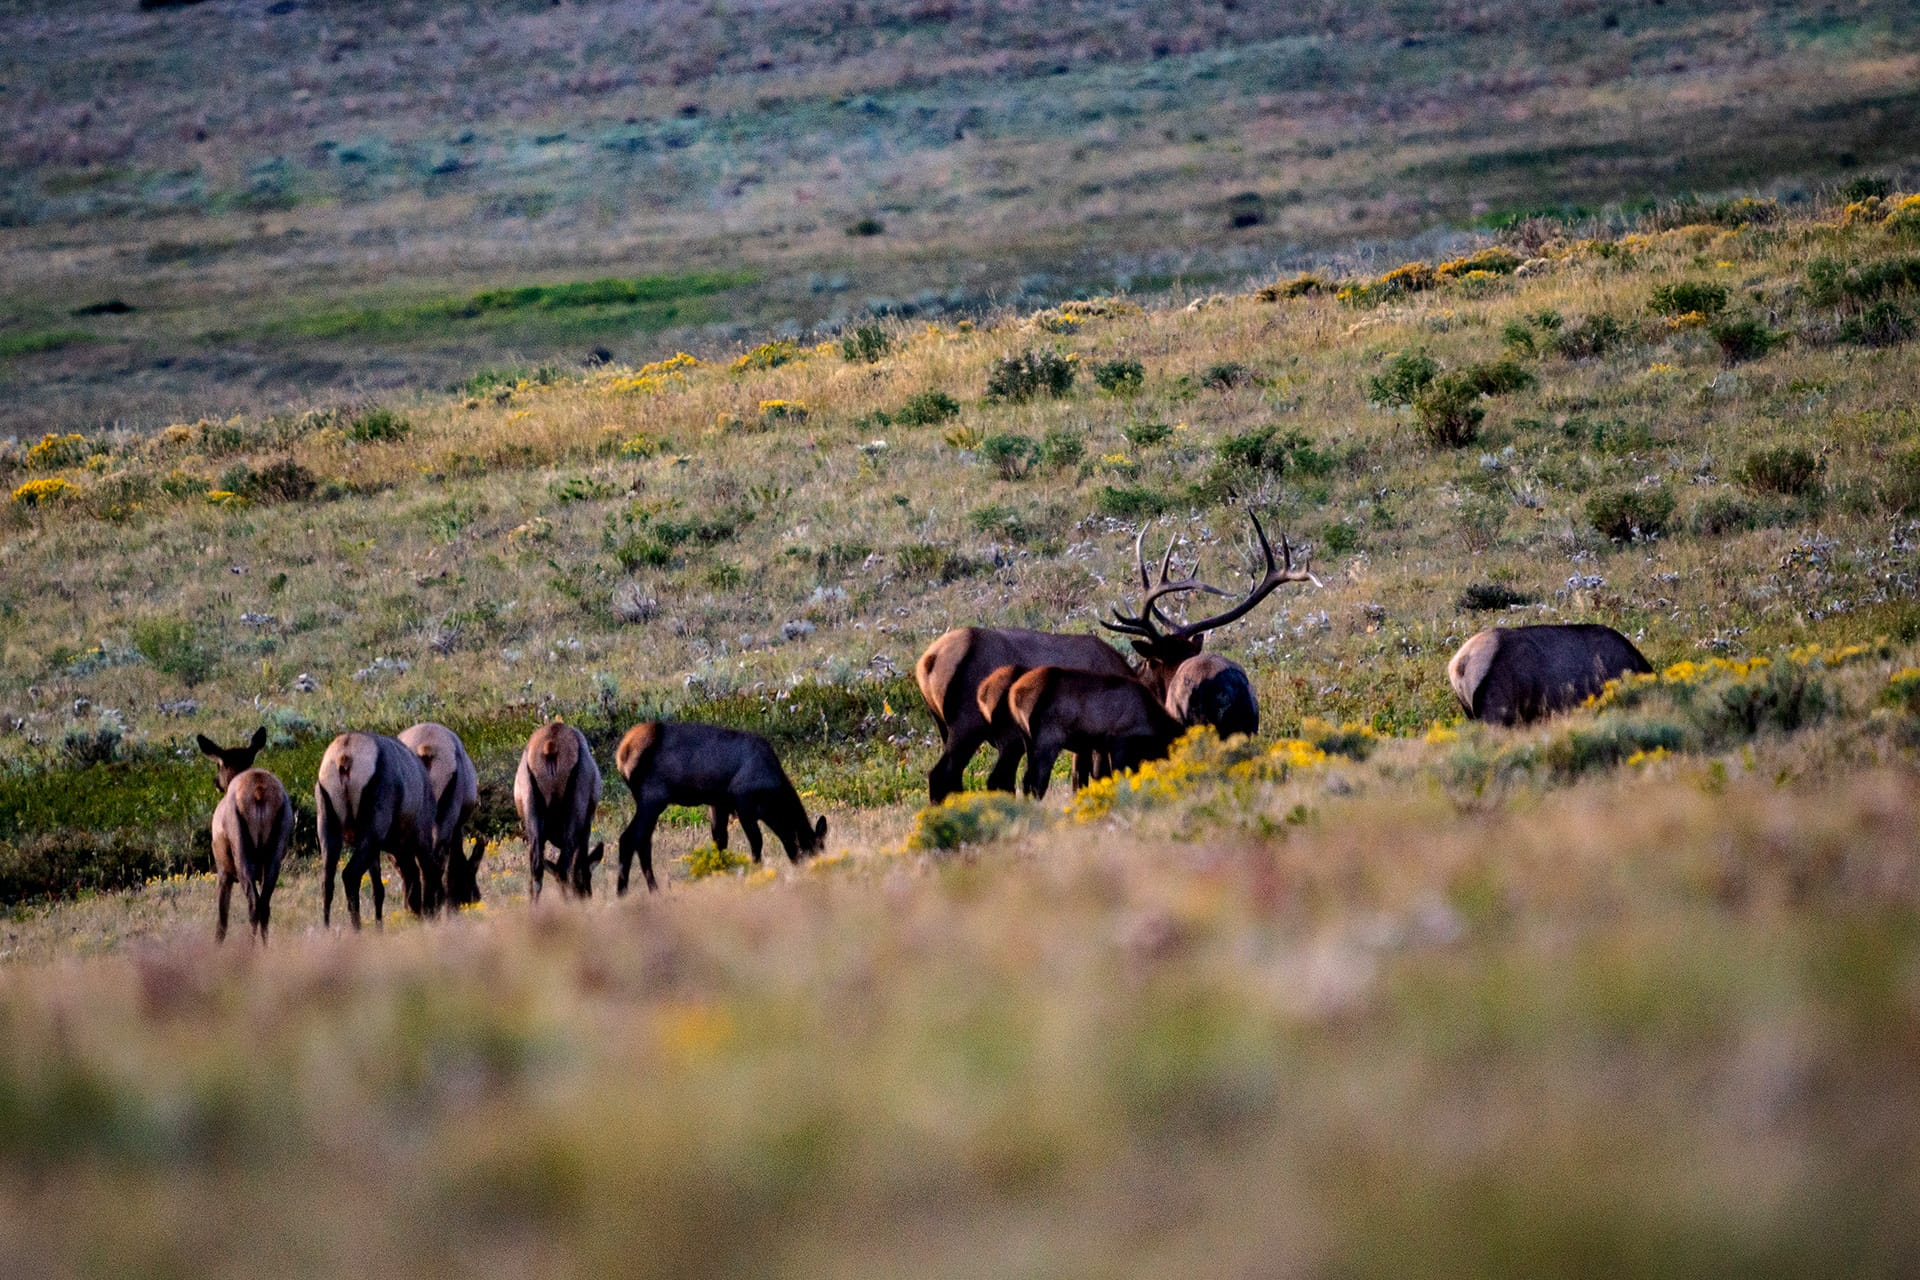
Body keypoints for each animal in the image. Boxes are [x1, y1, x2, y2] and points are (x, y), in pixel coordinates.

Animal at [197, 729, 293, 943]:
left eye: (219, 764)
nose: (216, 782)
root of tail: (259, 792)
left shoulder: (222, 870)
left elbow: (221, 922)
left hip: (240, 845)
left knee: (253, 903)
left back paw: (250, 946)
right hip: (276, 847)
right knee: (265, 904)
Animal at [315, 731, 439, 929]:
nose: (424, 915)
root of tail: (345, 756)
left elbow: (379, 889)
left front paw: (379, 928)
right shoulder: (421, 836)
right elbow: (424, 872)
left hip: (328, 823)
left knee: (327, 882)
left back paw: (326, 929)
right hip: (375, 824)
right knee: (350, 875)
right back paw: (356, 929)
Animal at [515, 721, 603, 901]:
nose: (588, 895)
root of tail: (551, 745)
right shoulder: (586, 826)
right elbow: (578, 867)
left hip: (532, 812)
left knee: (537, 870)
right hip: (574, 810)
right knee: (564, 867)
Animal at [613, 721, 827, 894]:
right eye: (813, 851)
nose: (813, 875)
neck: (773, 799)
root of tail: (622, 755)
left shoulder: (719, 803)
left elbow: (720, 841)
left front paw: (719, 874)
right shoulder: (743, 801)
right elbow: (756, 841)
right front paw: (755, 873)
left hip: (650, 801)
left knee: (641, 841)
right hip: (653, 798)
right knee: (630, 838)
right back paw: (627, 892)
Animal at [917, 510, 1313, 803]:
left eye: (1183, 653)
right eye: (1161, 661)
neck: (1136, 675)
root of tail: (927, 663)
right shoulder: (1095, 739)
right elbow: (1088, 778)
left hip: (951, 726)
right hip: (969, 722)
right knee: (945, 775)